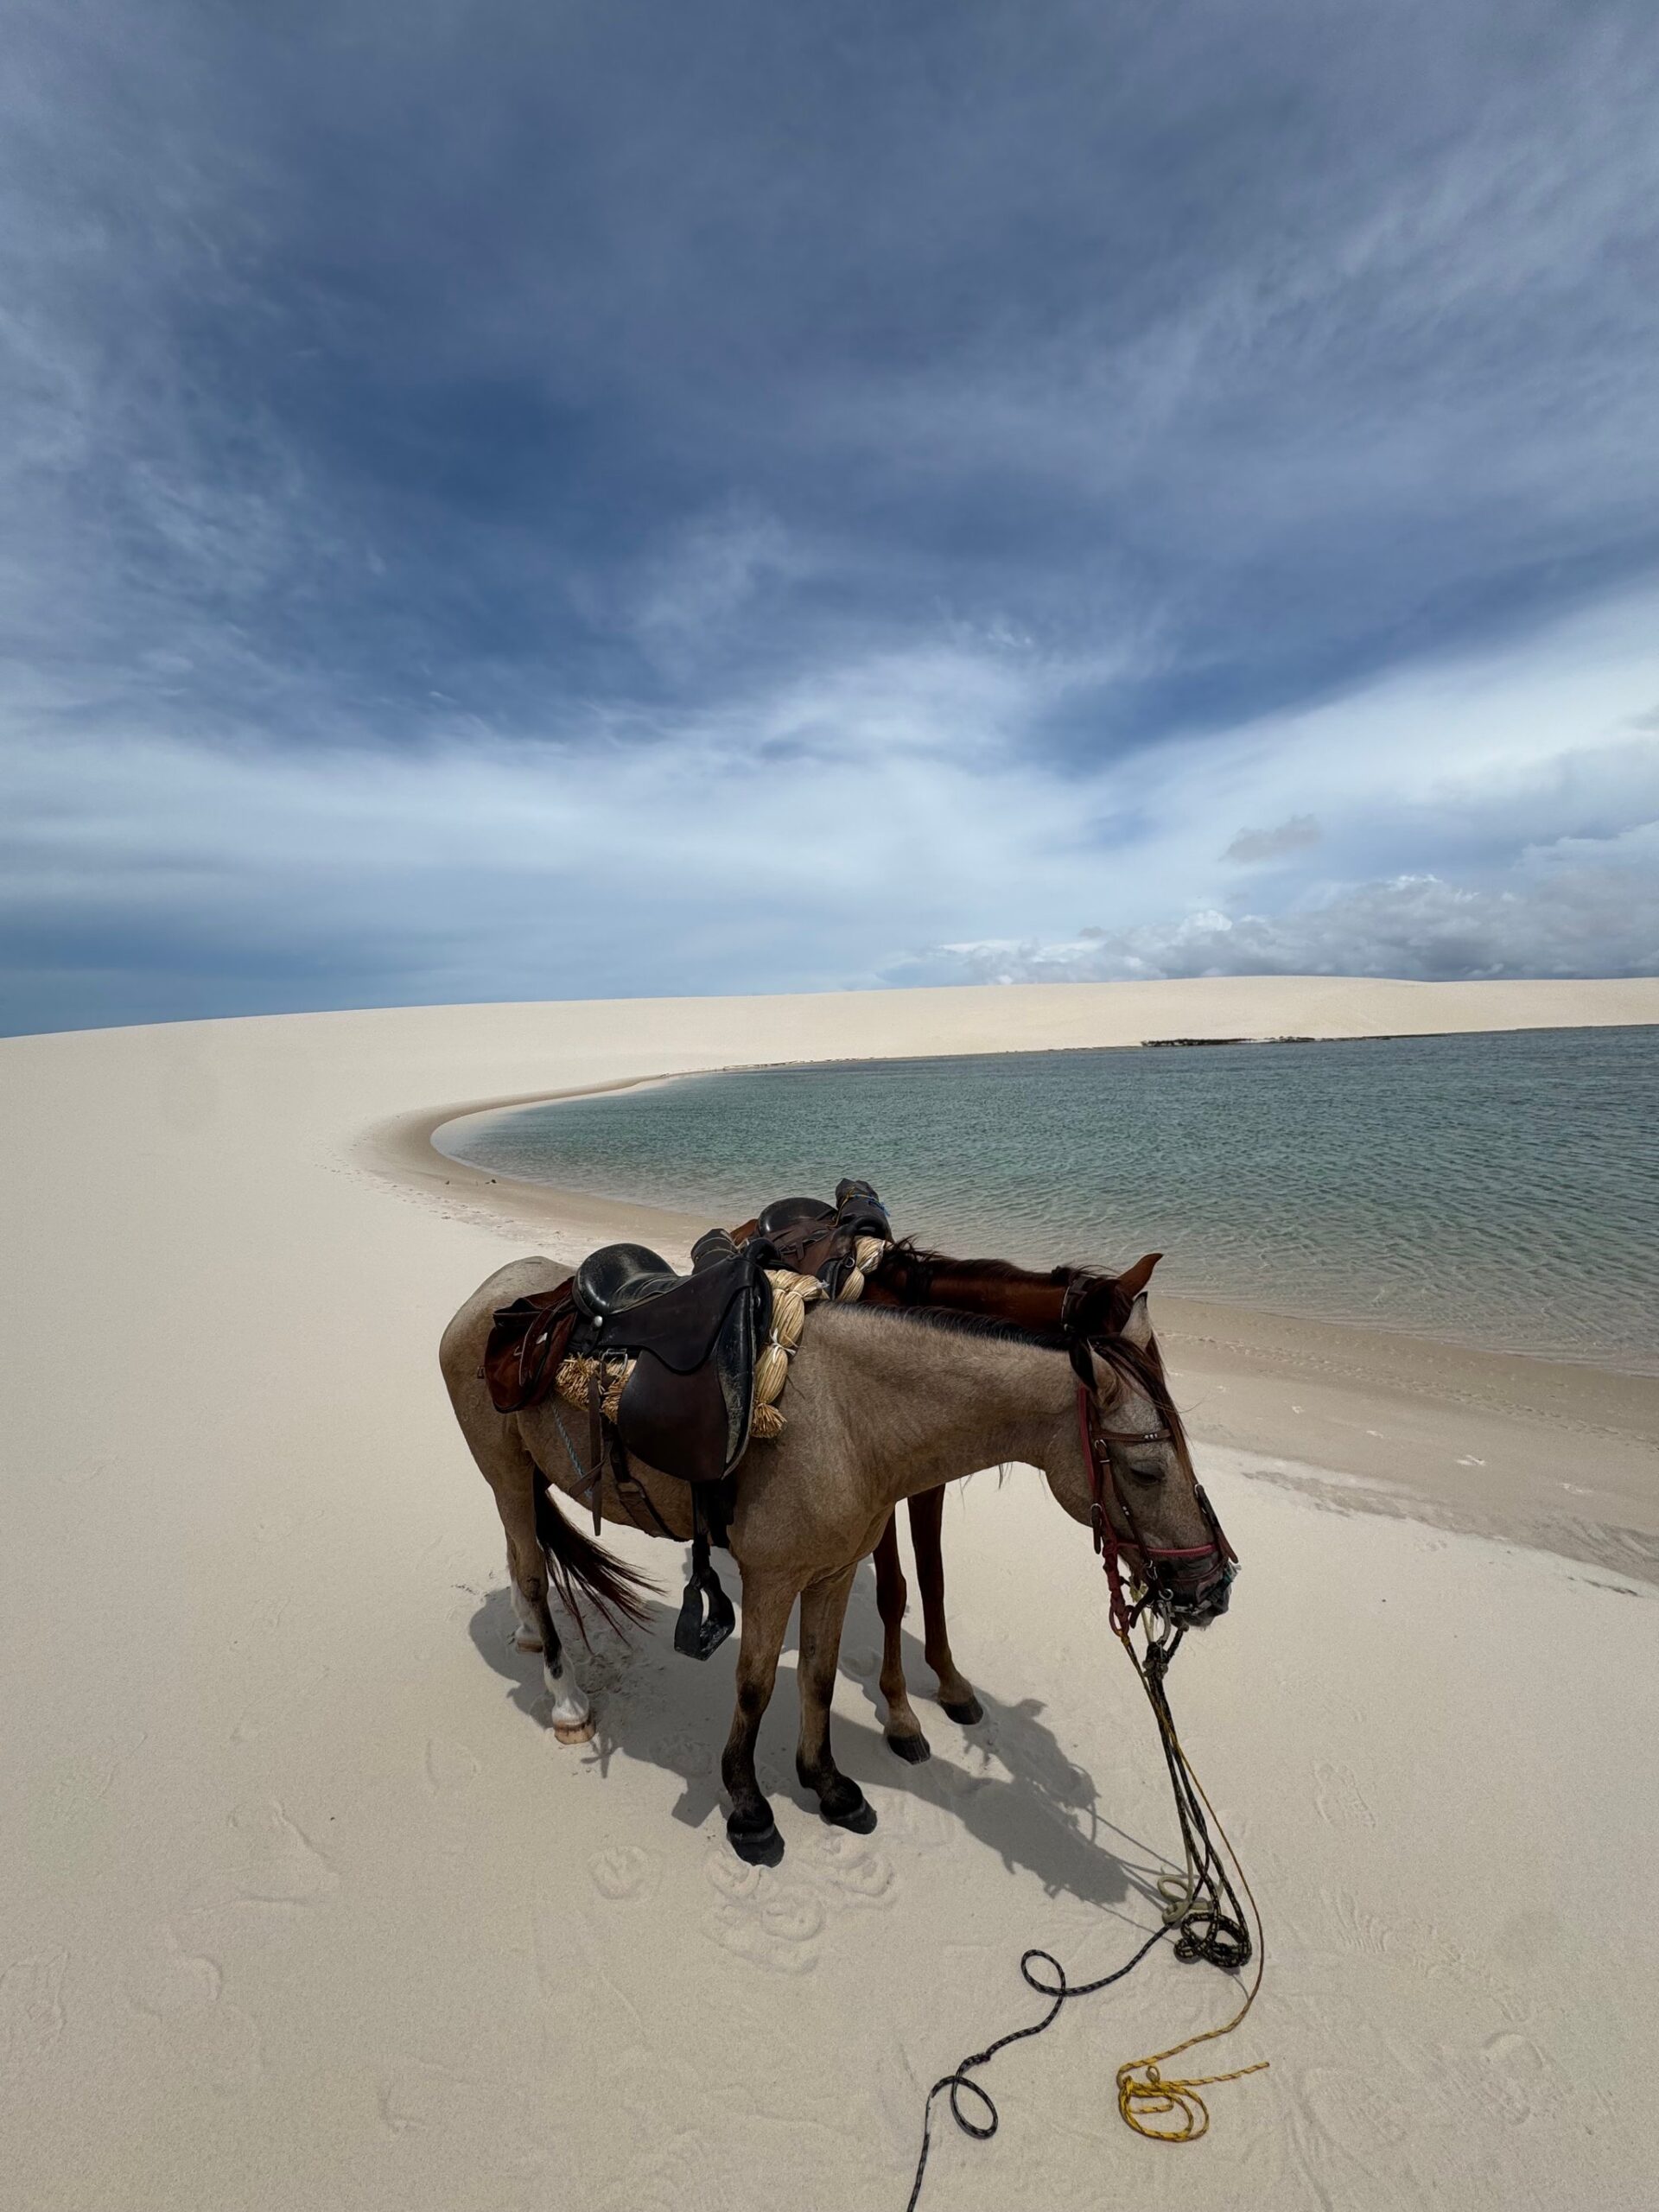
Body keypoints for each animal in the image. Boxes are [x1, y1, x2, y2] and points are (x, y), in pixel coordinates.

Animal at [440, 1259, 1234, 1862]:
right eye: (1147, 1472)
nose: (1211, 1588)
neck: (849, 1417)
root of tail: (494, 1293)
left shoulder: (836, 1570)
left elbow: (819, 1677)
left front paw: (826, 1783)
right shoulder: (772, 1579)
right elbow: (756, 1686)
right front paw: (750, 1807)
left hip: (525, 1480)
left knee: (520, 1560)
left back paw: (528, 1634)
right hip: (505, 1474)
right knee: (532, 1570)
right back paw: (566, 1699)